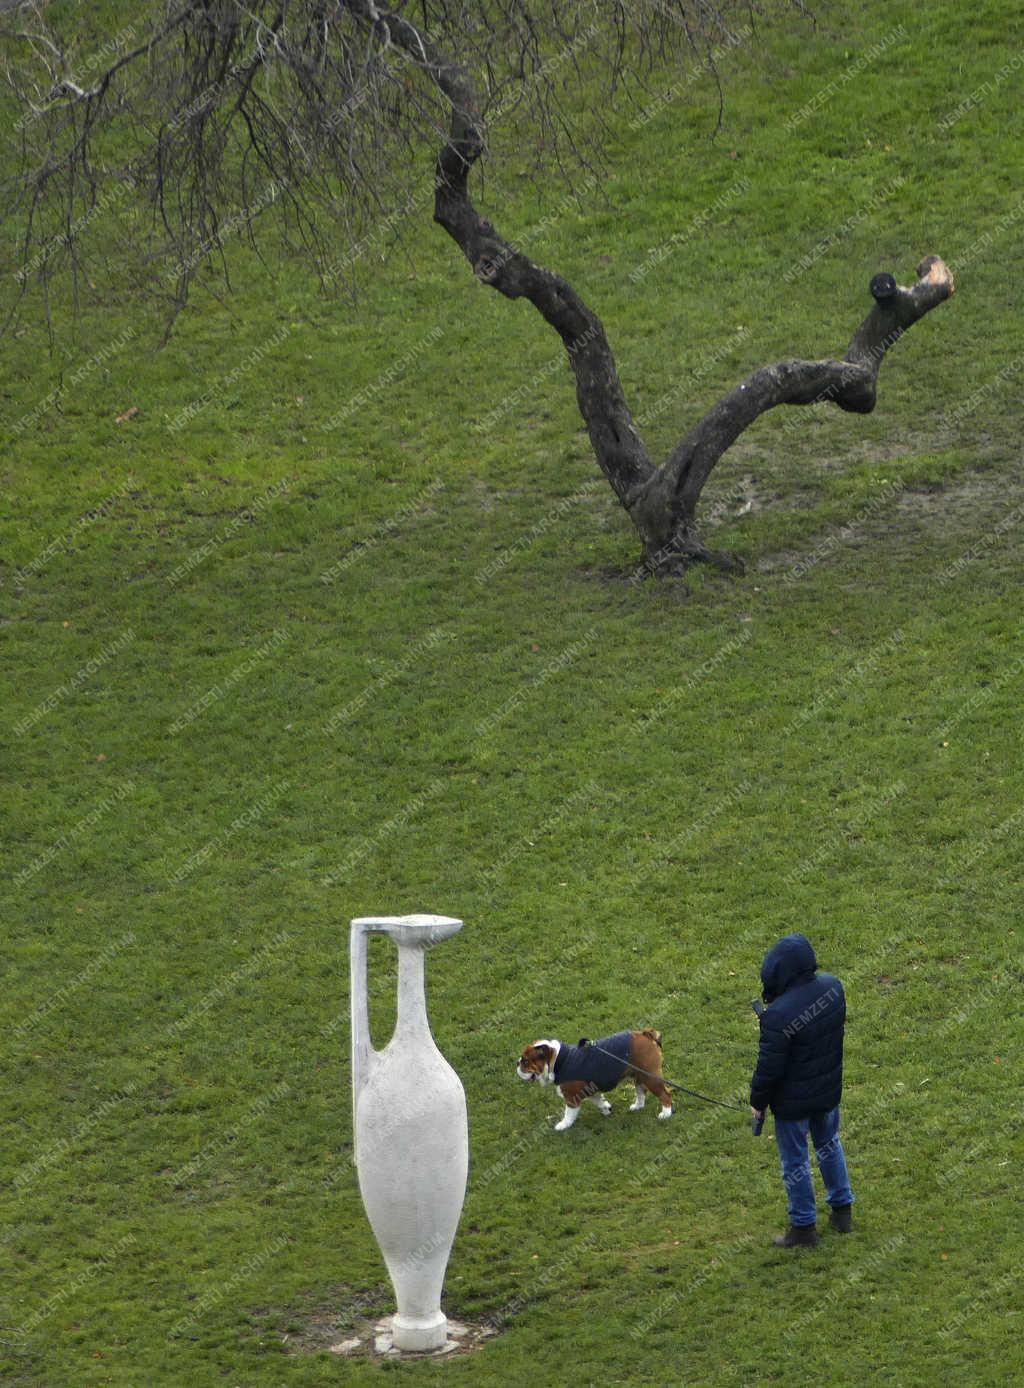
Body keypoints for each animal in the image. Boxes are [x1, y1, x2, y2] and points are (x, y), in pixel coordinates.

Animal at [513, 1032, 674, 1127]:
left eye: (526, 1061)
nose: (517, 1062)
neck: (558, 1060)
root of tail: (645, 1033)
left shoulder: (572, 1097)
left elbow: (569, 1113)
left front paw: (563, 1125)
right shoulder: (591, 1091)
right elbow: (599, 1101)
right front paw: (606, 1109)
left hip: (650, 1077)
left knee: (665, 1094)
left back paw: (666, 1114)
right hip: (639, 1076)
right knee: (641, 1093)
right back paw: (637, 1106)